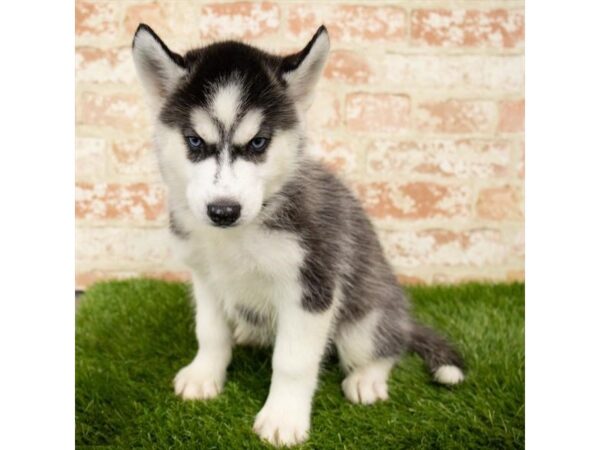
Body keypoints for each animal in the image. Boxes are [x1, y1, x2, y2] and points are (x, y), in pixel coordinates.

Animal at [134, 22, 466, 444]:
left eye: (258, 143)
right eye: (195, 141)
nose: (224, 211)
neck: (237, 235)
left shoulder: (311, 286)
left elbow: (292, 361)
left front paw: (283, 416)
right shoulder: (205, 279)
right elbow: (209, 332)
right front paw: (204, 375)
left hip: (365, 319)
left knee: (385, 346)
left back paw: (367, 378)